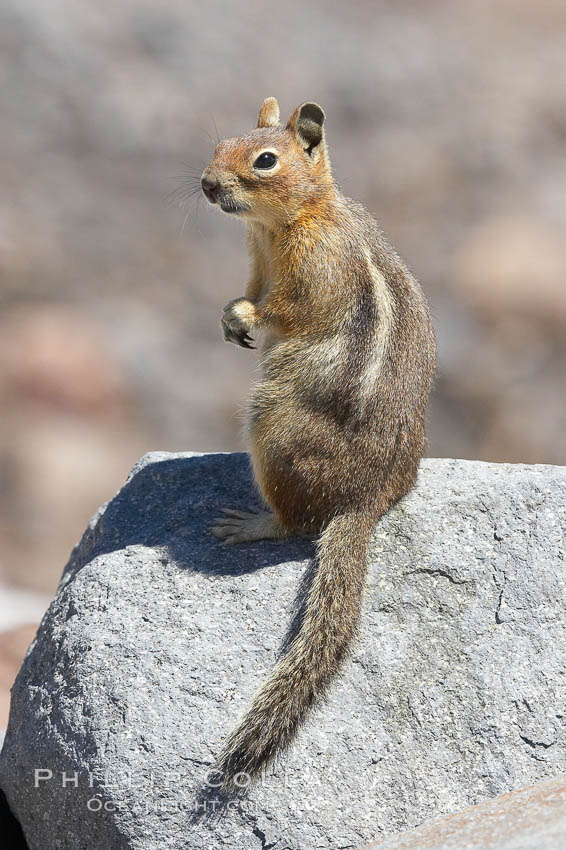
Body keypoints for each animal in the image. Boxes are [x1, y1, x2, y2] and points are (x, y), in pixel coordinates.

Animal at [204, 97, 440, 788]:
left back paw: (250, 522)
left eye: (264, 160)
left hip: (273, 423)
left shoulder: (314, 272)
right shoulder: (254, 262)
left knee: (296, 522)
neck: (287, 220)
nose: (206, 184)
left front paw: (248, 318)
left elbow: (286, 310)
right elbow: (247, 291)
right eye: (219, 144)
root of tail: (367, 499)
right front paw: (229, 316)